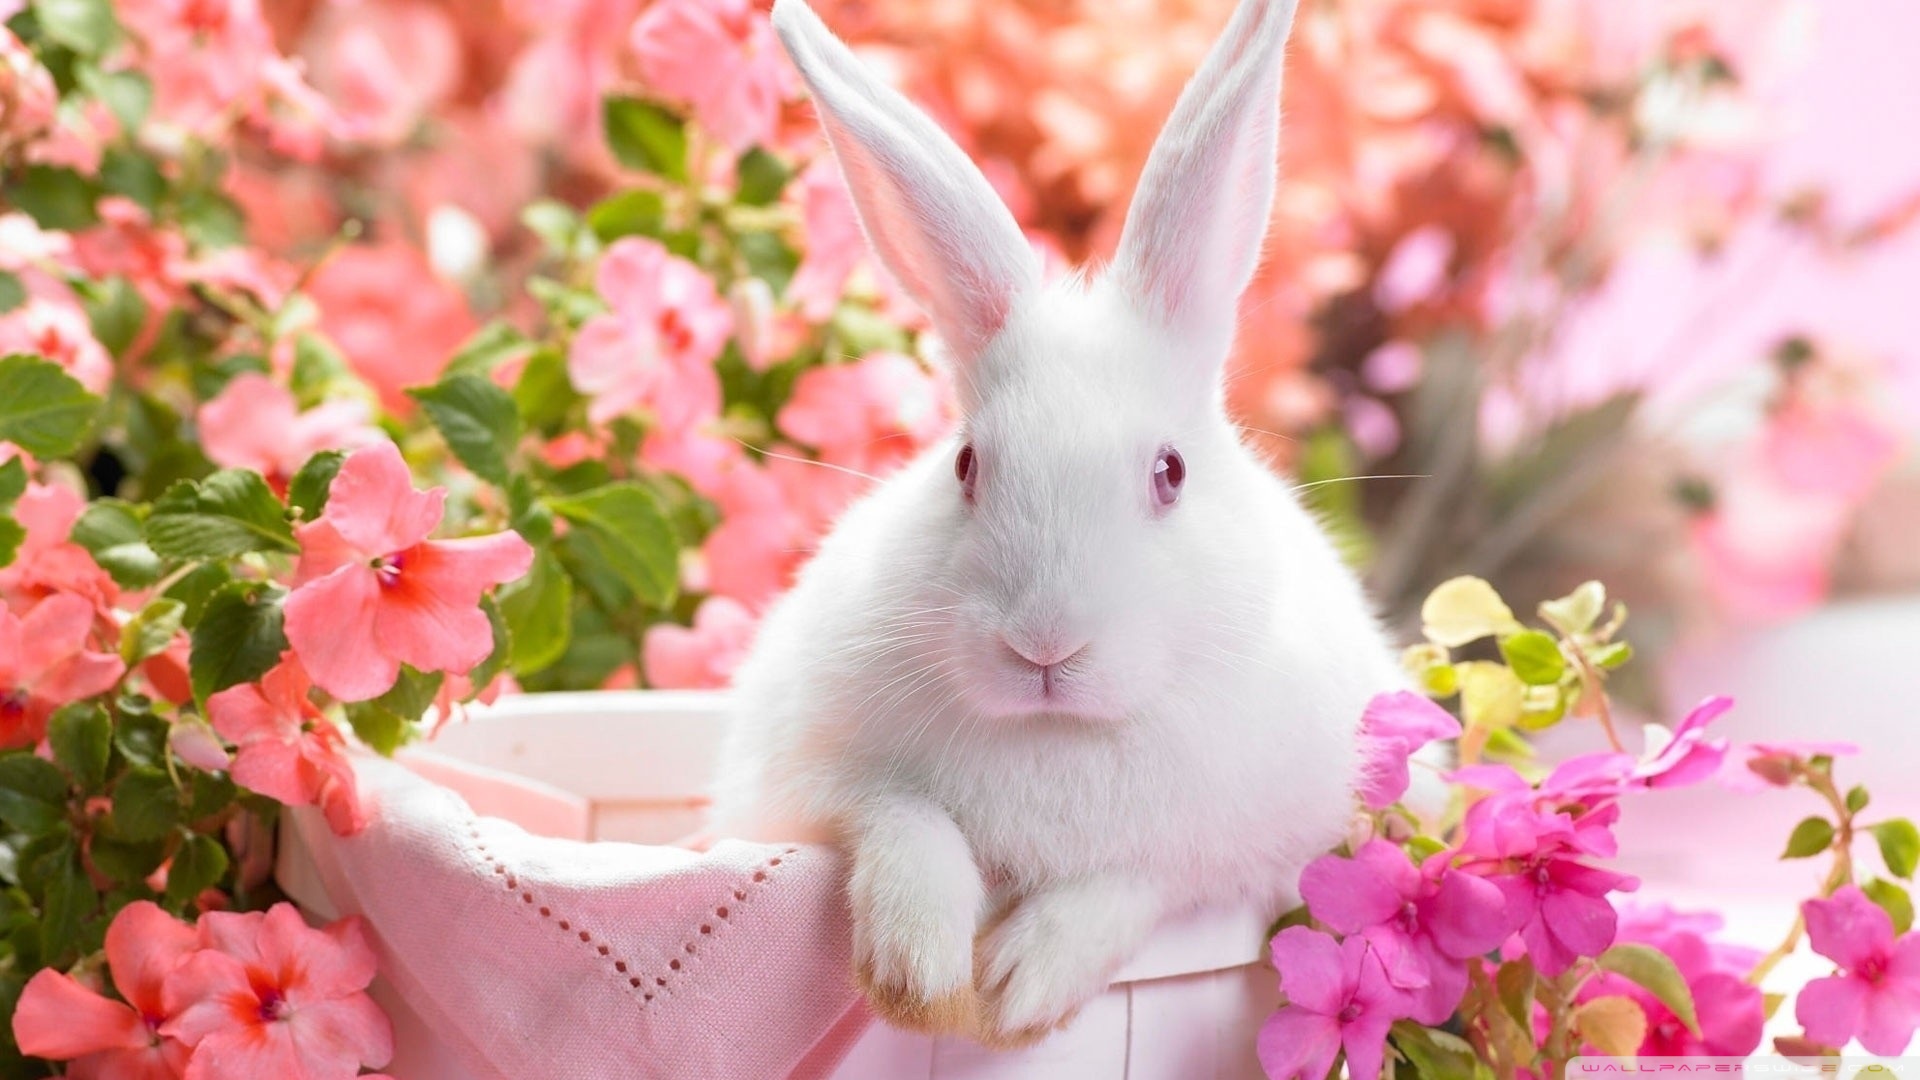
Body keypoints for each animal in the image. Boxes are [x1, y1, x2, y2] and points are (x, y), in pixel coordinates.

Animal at [707, 0, 1409, 1049]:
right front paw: (919, 972)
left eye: (1170, 473)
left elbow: (1134, 879)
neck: (1057, 734)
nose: (1044, 644)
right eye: (966, 465)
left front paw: (1018, 984)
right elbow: (901, 819)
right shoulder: (804, 781)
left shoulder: (1255, 845)